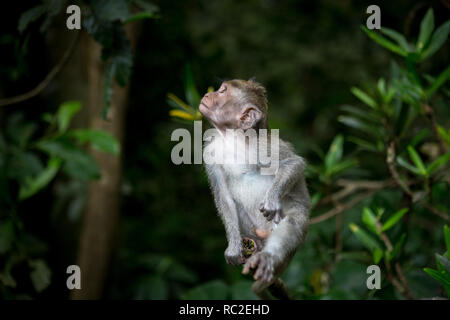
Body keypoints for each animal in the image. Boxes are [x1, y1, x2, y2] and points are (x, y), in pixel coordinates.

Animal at [200, 79, 310, 298]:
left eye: (222, 92)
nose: (208, 95)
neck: (233, 138)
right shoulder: (210, 153)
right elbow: (224, 197)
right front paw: (233, 248)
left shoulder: (262, 145)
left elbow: (294, 163)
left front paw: (272, 199)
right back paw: (256, 247)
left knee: (291, 224)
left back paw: (267, 257)